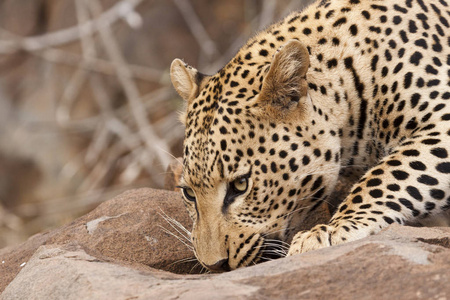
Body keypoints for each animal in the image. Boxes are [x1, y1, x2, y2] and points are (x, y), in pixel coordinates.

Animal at [169, 0, 450, 272]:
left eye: (240, 185)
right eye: (189, 193)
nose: (214, 265)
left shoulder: (442, 119)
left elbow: (386, 175)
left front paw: (333, 230)